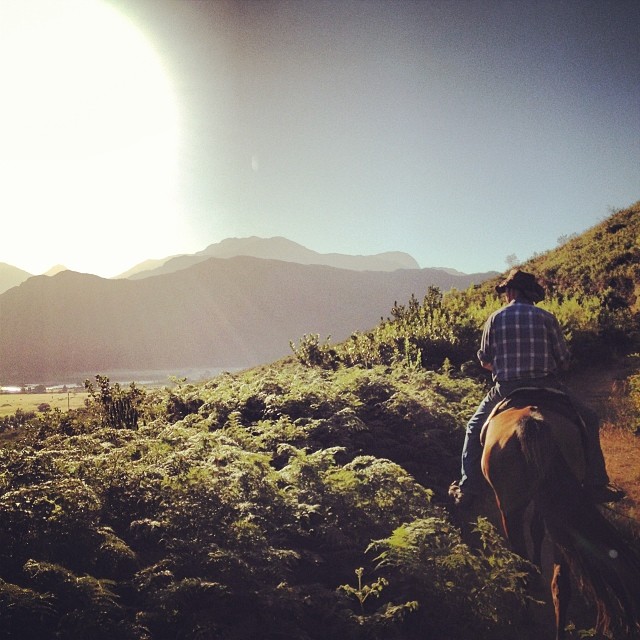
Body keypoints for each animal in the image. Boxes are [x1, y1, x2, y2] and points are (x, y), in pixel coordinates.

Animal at [480, 390, 640, 640]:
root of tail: (531, 423)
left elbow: (535, 531)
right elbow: (536, 530)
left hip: (510, 507)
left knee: (531, 567)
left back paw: (527, 616)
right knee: (561, 585)